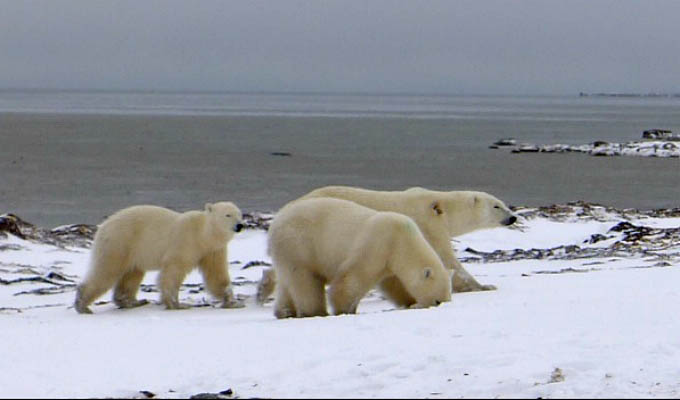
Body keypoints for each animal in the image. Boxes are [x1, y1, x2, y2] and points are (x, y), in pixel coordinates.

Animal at [256, 186, 516, 304]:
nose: (513, 217)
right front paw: (484, 286)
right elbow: (448, 261)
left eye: (503, 203)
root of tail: (288, 207)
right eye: (497, 205)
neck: (443, 209)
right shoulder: (428, 227)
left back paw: (264, 288)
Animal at [266, 198, 452, 318]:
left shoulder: (391, 258)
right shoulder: (378, 242)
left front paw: (409, 301)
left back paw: (284, 311)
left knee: (287, 280)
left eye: (447, 300)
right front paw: (344, 308)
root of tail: (276, 221)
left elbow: (395, 283)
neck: (403, 238)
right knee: (305, 280)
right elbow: (354, 277)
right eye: (437, 301)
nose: (440, 305)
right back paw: (315, 312)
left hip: (288, 251)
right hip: (299, 244)